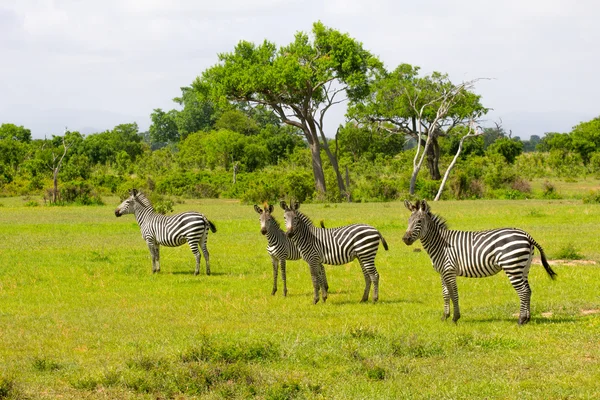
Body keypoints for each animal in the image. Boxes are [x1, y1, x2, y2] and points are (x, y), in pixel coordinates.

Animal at [404, 200, 556, 324]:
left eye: (419, 222)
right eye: (408, 221)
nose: (405, 239)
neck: (440, 244)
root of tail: (526, 235)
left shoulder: (449, 270)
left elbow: (454, 294)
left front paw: (455, 318)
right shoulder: (443, 272)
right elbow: (445, 294)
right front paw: (444, 317)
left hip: (512, 267)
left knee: (523, 291)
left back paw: (521, 320)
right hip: (523, 267)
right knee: (528, 290)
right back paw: (527, 319)